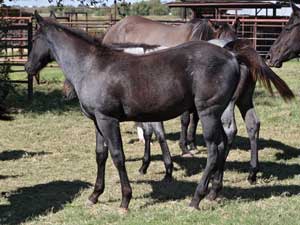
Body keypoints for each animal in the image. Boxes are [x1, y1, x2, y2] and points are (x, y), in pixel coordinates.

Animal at [27, 12, 246, 209]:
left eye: (35, 39)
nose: (28, 67)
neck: (91, 66)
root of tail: (232, 56)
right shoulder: (97, 121)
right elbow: (100, 155)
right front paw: (95, 195)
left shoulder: (108, 119)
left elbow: (117, 156)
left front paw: (125, 199)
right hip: (217, 113)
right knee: (223, 143)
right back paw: (213, 192)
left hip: (208, 112)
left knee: (213, 150)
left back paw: (196, 198)